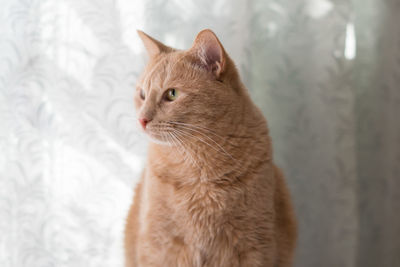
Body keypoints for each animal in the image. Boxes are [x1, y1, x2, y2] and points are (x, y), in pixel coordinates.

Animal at [125, 29, 296, 267]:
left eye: (172, 94)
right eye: (142, 94)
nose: (142, 119)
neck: (198, 167)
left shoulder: (254, 247)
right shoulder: (159, 246)